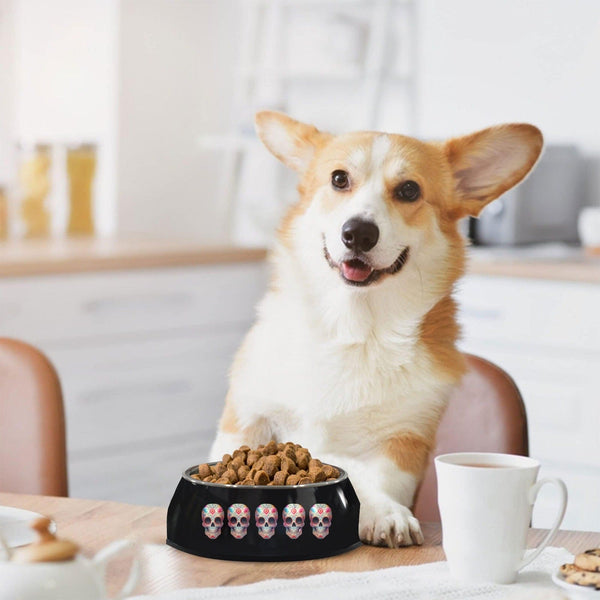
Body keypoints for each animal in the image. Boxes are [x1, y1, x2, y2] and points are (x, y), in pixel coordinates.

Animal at [211, 112, 544, 548]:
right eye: (339, 179)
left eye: (409, 190)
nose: (358, 233)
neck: (352, 328)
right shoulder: (247, 420)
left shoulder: (403, 441)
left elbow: (374, 481)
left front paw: (385, 513)